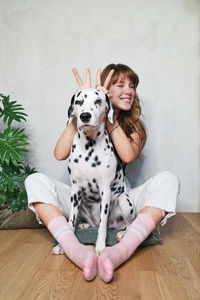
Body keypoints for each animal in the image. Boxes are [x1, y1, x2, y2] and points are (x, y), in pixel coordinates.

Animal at [52, 88, 136, 254]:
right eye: (78, 102)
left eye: (98, 101)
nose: (85, 116)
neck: (89, 147)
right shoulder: (75, 190)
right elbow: (70, 221)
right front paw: (63, 245)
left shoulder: (105, 190)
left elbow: (103, 226)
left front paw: (100, 246)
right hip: (81, 203)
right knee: (93, 223)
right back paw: (85, 224)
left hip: (124, 200)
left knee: (128, 225)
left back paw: (122, 234)